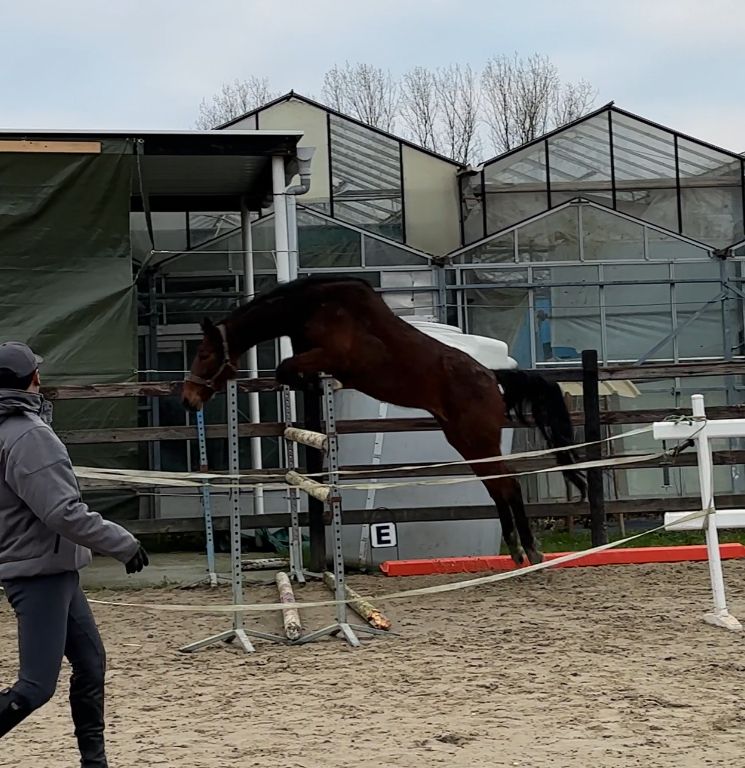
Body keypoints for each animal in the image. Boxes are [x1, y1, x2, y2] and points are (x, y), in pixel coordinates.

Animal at [181, 274, 586, 566]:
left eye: (204, 354)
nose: (188, 400)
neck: (314, 308)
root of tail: (491, 376)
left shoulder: (331, 356)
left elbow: (285, 368)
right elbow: (289, 372)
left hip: (477, 438)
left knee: (509, 485)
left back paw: (530, 551)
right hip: (464, 441)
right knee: (498, 487)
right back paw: (518, 551)